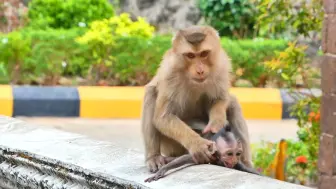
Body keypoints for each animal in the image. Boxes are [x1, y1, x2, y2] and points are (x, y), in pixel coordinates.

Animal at [140, 25, 252, 173]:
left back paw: (246, 162)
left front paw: (217, 123)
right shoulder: (169, 72)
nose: (200, 70)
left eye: (204, 53)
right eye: (190, 56)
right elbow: (163, 117)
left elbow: (220, 99)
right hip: (172, 146)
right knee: (151, 93)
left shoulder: (222, 64)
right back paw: (154, 157)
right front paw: (198, 145)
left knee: (233, 104)